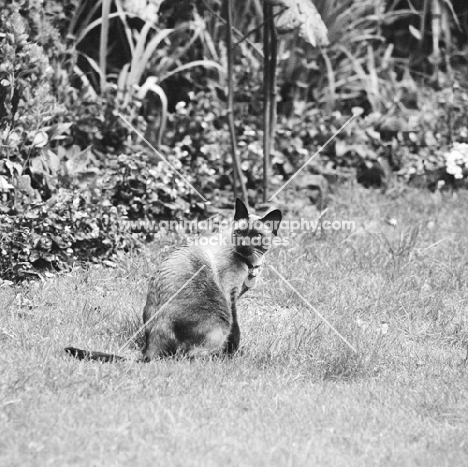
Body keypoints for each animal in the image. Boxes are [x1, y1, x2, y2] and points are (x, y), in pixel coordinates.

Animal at [65, 199, 282, 364]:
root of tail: (153, 339)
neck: (250, 264)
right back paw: (220, 359)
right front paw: (235, 354)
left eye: (256, 236)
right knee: (190, 356)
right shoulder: (231, 297)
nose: (243, 244)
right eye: (239, 233)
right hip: (221, 317)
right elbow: (236, 333)